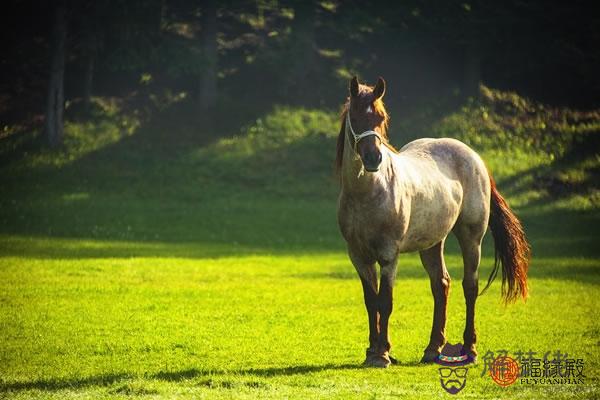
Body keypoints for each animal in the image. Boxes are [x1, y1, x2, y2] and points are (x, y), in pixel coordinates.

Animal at [338, 76, 528, 368]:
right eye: (356, 116)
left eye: (381, 118)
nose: (373, 159)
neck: (368, 193)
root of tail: (474, 157)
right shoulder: (358, 256)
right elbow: (371, 302)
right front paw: (372, 352)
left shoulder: (389, 255)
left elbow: (385, 301)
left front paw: (382, 354)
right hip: (431, 244)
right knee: (441, 285)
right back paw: (432, 349)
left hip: (471, 237)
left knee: (469, 286)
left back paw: (469, 349)